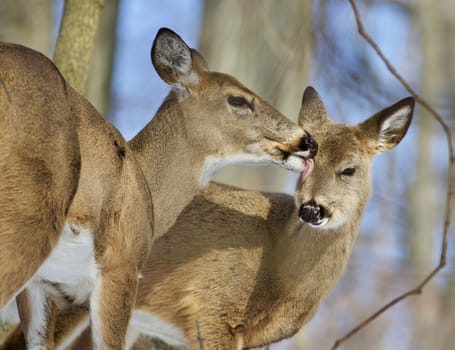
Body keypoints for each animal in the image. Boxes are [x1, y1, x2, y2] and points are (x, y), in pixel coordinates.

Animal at [0, 28, 318, 350]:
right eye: (238, 100)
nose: (309, 141)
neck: (148, 191)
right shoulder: (122, 264)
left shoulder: (42, 284)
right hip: (27, 214)